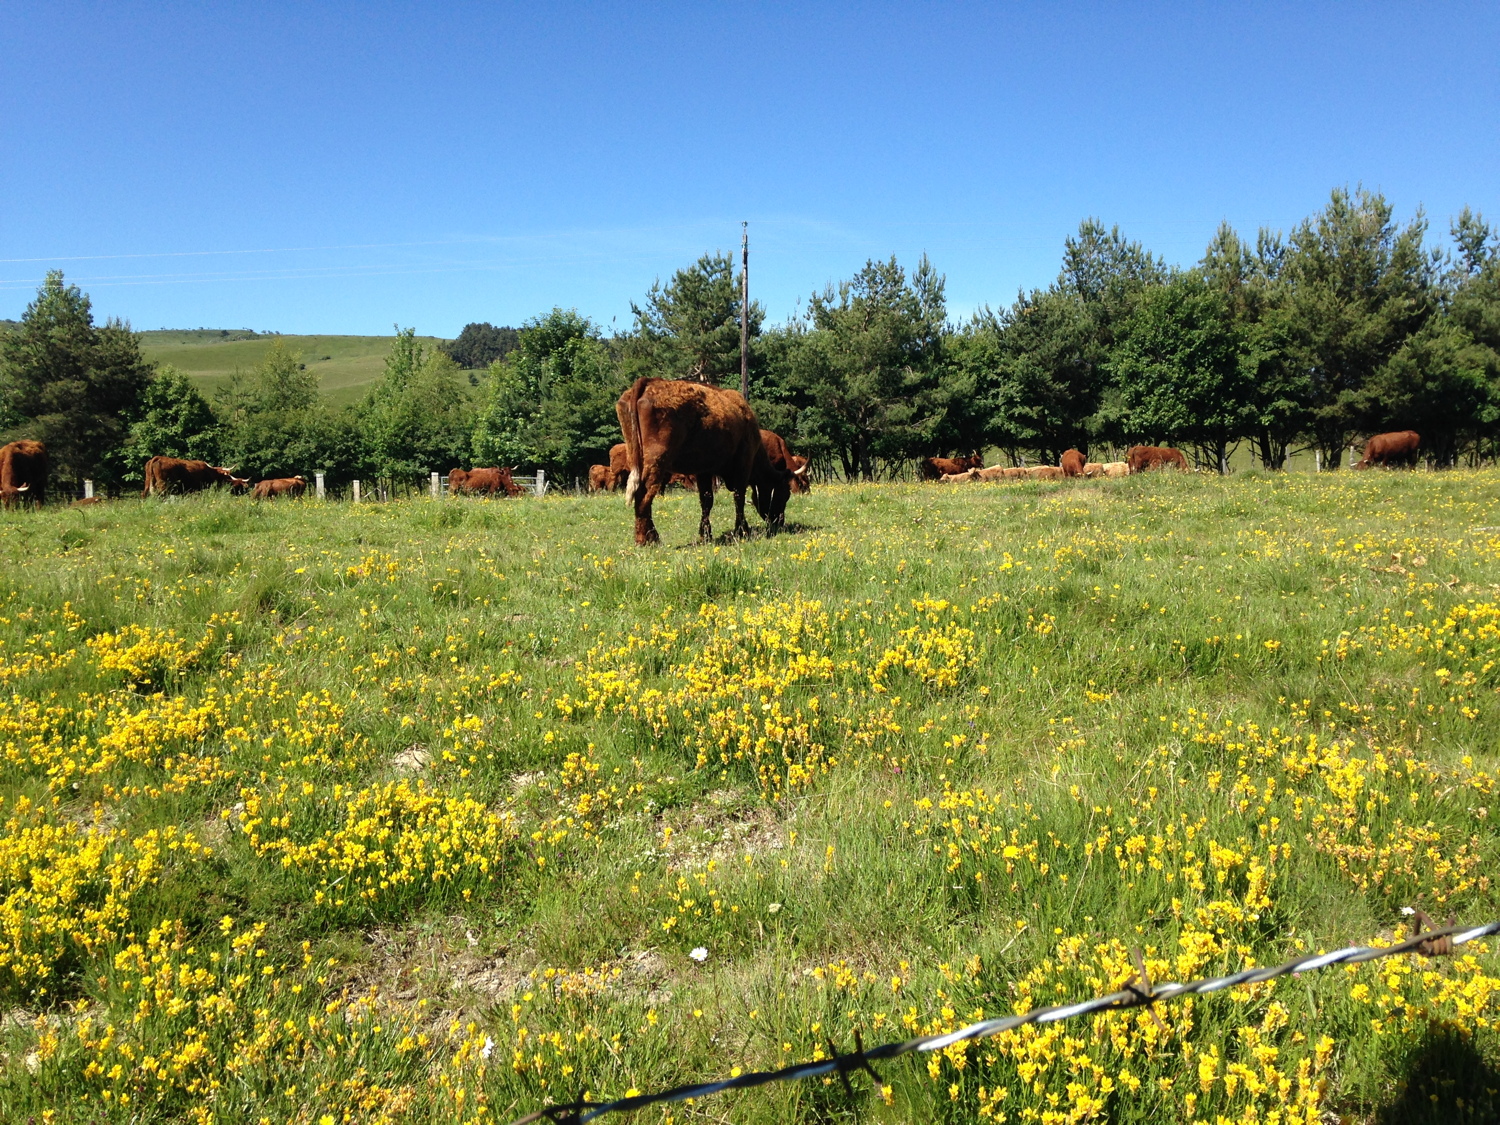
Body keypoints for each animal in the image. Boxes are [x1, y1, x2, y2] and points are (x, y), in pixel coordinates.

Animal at [615, 377, 783, 545]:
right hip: (656, 460)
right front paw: (742, 531)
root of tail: (649, 382)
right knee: (645, 494)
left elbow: (706, 500)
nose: (779, 522)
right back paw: (648, 539)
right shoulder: (744, 463)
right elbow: (739, 496)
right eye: (784, 492)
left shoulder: (704, 471)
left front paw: (706, 535)